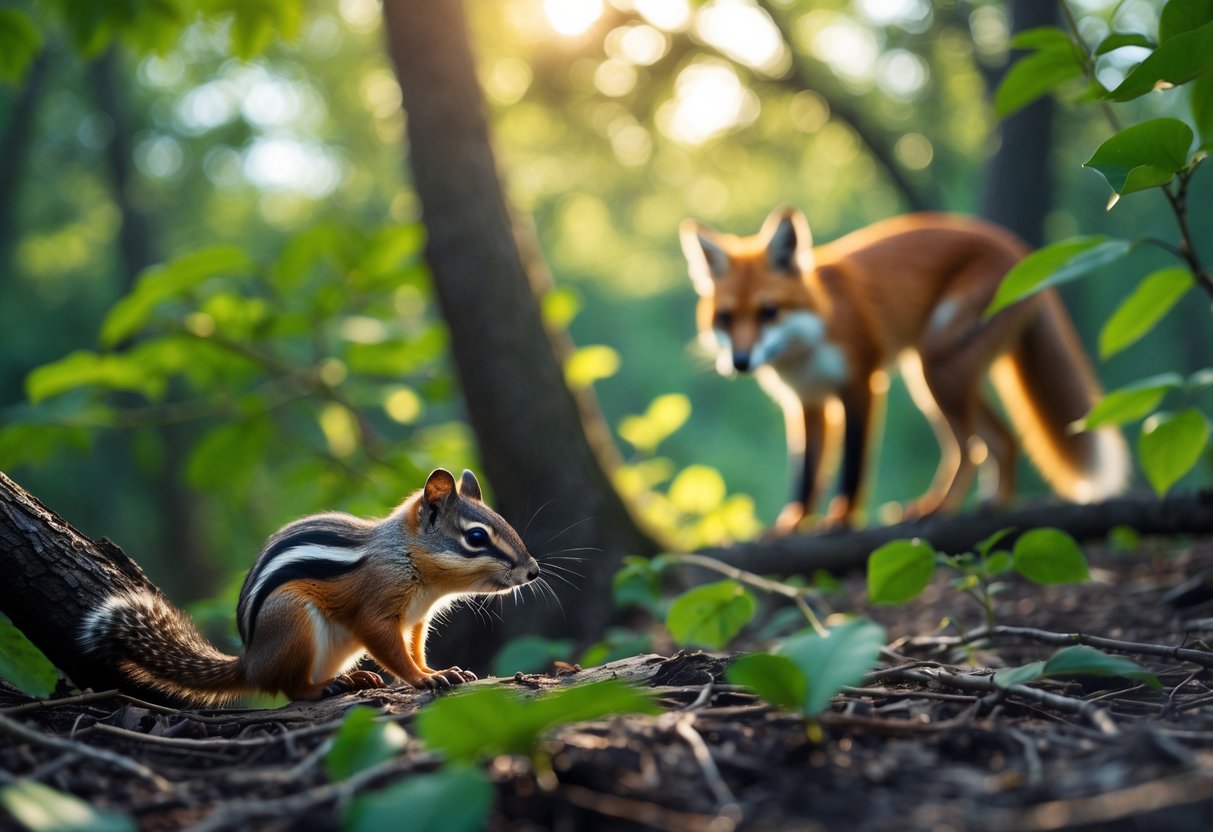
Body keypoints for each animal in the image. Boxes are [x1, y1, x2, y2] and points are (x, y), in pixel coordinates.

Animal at [79, 468, 540, 707]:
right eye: (476, 537)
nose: (533, 571)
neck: (407, 557)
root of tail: (251, 661)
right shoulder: (377, 608)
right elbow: (390, 650)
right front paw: (423, 679)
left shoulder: (415, 621)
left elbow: (414, 648)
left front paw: (439, 670)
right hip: (294, 621)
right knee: (291, 688)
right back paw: (325, 687)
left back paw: (354, 679)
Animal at [680, 207, 1129, 534]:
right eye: (725, 318)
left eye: (768, 311)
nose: (740, 362)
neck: (810, 339)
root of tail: (1016, 245)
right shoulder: (806, 403)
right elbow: (805, 474)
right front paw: (792, 524)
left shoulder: (860, 385)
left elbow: (853, 466)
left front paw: (841, 519)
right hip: (937, 377)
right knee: (1000, 441)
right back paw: (994, 504)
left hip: (935, 373)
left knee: (971, 448)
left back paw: (939, 509)